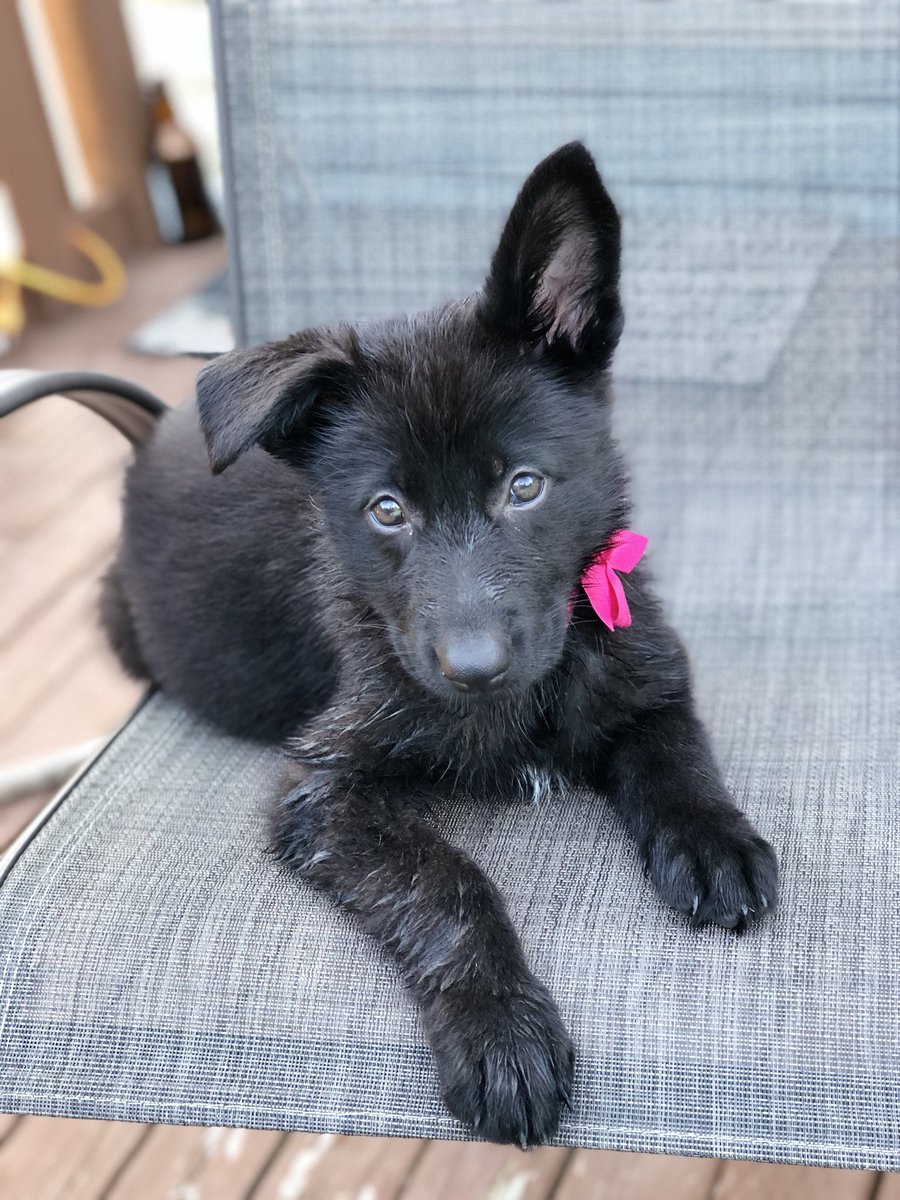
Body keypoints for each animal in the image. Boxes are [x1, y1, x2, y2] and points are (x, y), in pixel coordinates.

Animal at [102, 145, 777, 1147]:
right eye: (388, 510)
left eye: (524, 486)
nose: (473, 669)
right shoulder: (325, 788)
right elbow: (445, 881)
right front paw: (500, 1031)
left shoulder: (646, 668)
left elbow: (674, 752)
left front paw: (713, 839)